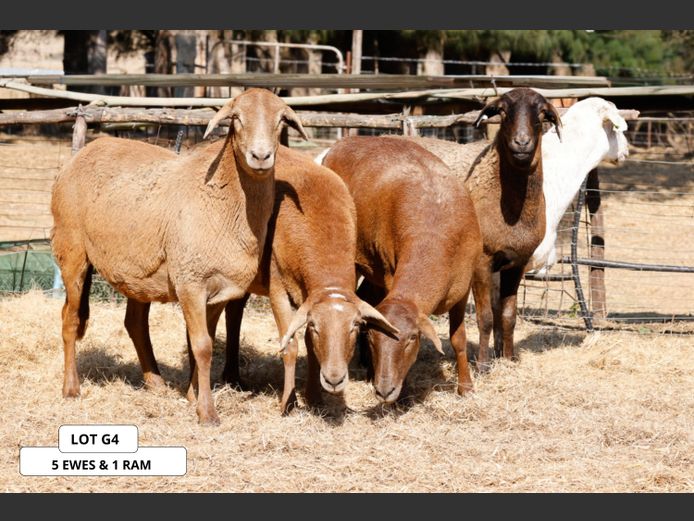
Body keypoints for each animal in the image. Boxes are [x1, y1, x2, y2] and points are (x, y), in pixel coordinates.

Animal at [50, 88, 309, 425]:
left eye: (281, 120)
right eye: (236, 119)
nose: (261, 157)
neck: (224, 200)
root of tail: (84, 152)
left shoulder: (220, 289)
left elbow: (204, 342)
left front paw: (192, 396)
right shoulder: (191, 282)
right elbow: (202, 346)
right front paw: (207, 413)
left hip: (138, 271)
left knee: (135, 323)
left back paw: (156, 383)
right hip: (72, 251)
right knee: (69, 318)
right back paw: (71, 388)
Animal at [218, 146, 399, 413]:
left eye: (355, 327)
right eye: (316, 327)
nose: (334, 379)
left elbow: (309, 347)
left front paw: (314, 398)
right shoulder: (278, 289)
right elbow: (290, 345)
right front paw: (289, 402)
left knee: (234, 311)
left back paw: (233, 378)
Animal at [322, 136, 483, 403]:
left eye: (411, 339)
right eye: (373, 339)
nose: (384, 391)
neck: (433, 234)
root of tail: (344, 141)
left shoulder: (463, 288)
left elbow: (458, 339)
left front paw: (466, 388)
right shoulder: (390, 272)